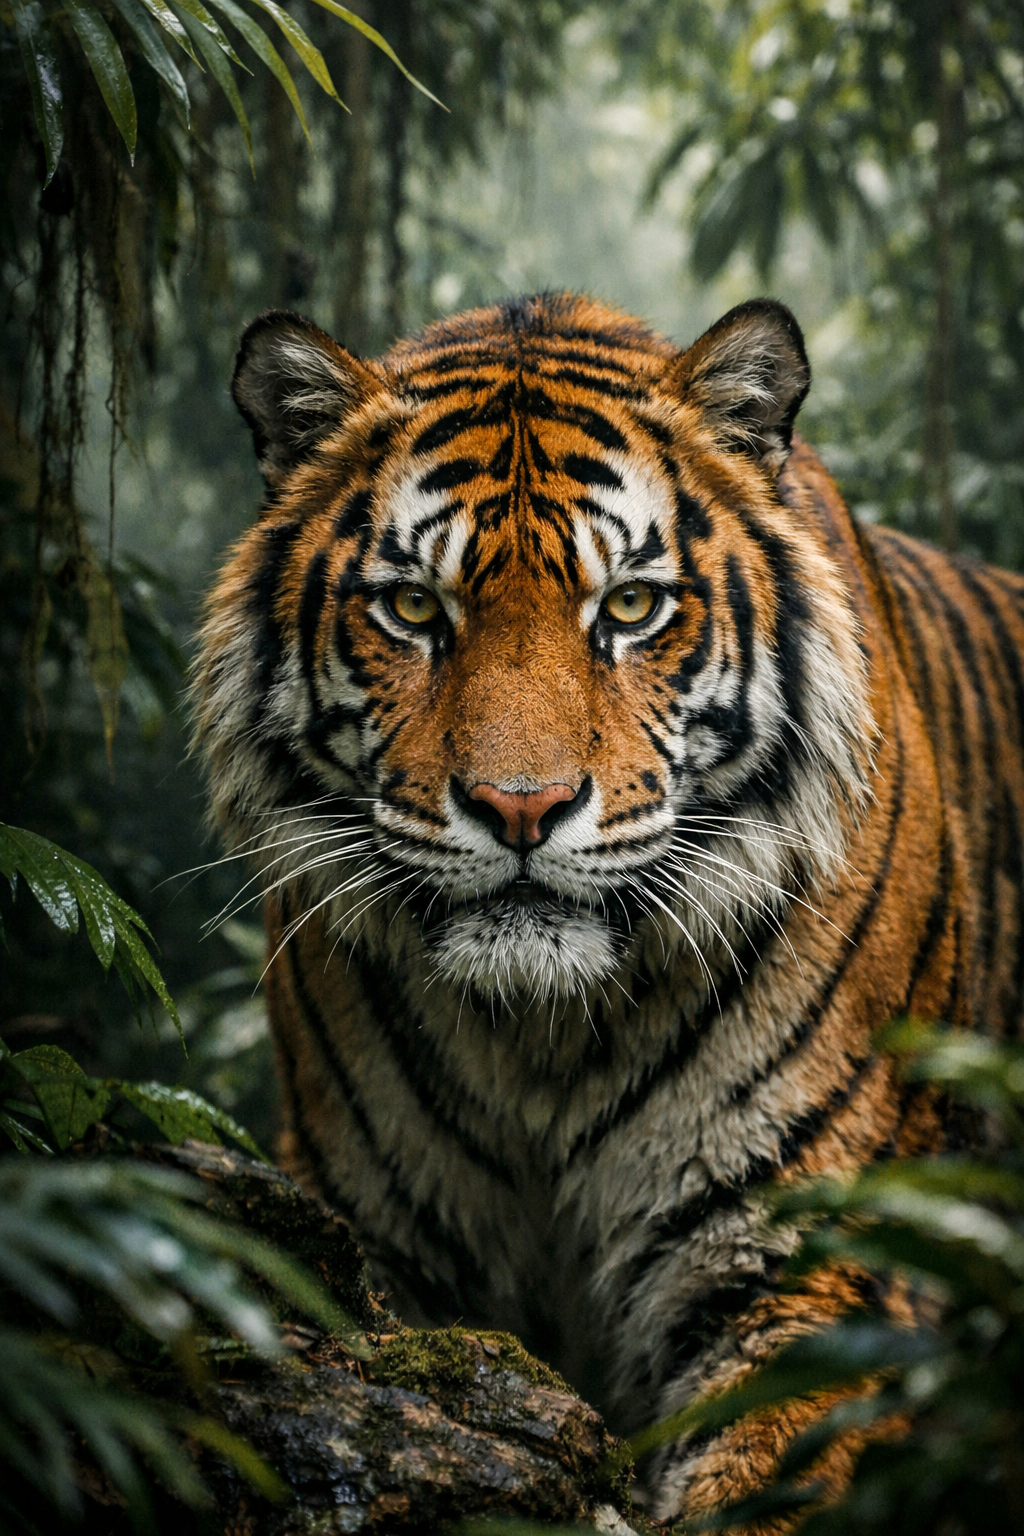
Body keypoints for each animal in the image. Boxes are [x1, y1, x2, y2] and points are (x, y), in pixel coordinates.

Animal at [193, 291, 1024, 1523]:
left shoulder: (807, 1263)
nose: (519, 807)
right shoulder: (371, 1237)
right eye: (412, 608)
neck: (539, 1040)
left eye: (629, 605)